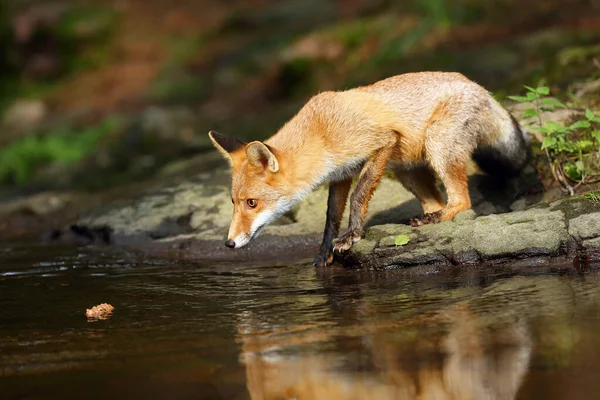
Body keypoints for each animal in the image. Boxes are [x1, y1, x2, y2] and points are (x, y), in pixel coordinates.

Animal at [209, 72, 528, 266]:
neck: (321, 133)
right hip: (408, 171)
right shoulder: (340, 174)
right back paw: (427, 218)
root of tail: (480, 88)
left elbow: (358, 197)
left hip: (437, 145)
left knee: (462, 200)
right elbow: (331, 216)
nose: (229, 243)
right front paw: (324, 252)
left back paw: (438, 217)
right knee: (438, 201)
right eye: (234, 202)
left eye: (252, 203)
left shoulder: (381, 144)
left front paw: (352, 235)